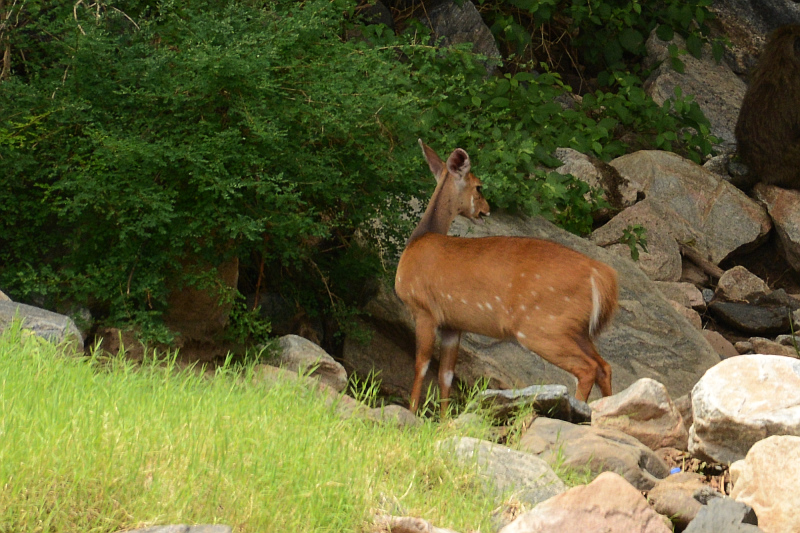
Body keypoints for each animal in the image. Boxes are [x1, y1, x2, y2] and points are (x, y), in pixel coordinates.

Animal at [396, 139, 620, 414]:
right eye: (479, 186)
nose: (486, 210)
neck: (418, 242)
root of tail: (600, 274)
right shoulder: (453, 323)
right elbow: (445, 374)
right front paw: (443, 420)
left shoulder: (423, 308)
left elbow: (421, 366)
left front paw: (411, 413)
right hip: (577, 329)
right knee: (604, 366)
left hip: (542, 326)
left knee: (587, 368)